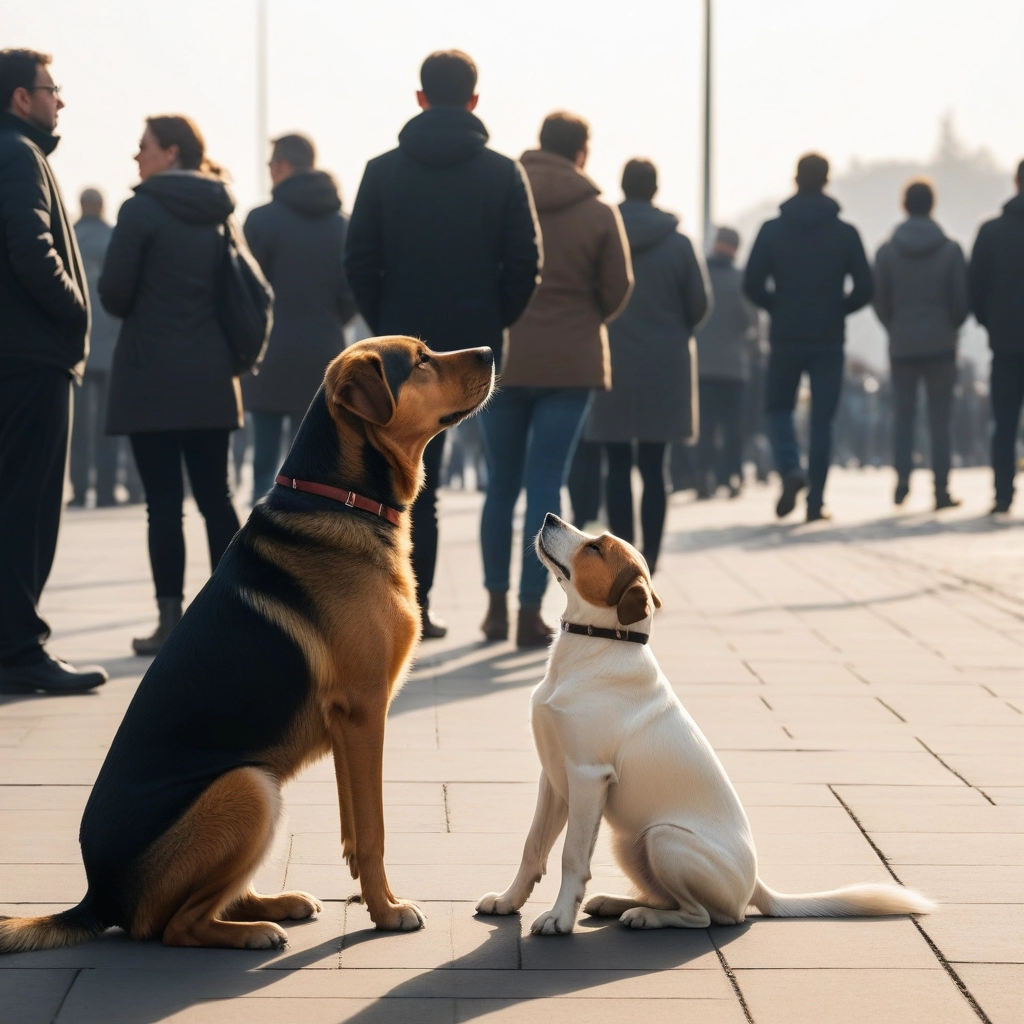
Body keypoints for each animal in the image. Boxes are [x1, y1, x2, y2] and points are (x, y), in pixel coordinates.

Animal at [0, 337, 495, 950]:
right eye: (422, 359)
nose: (491, 350)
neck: (341, 497)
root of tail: (99, 897)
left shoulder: (348, 723)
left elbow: (354, 831)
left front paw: (370, 900)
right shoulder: (364, 711)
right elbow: (373, 830)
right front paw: (386, 911)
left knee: (214, 899)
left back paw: (276, 903)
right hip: (250, 786)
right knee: (175, 926)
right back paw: (254, 931)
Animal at [475, 512, 933, 937]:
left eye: (595, 548)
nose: (550, 516)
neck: (596, 644)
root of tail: (756, 886)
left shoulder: (588, 776)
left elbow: (571, 856)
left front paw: (558, 919)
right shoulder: (554, 777)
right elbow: (533, 847)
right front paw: (507, 901)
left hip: (664, 837)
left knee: (707, 916)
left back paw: (643, 916)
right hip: (630, 842)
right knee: (672, 898)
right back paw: (615, 903)